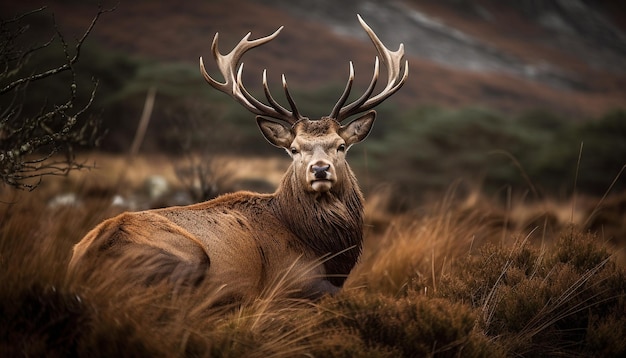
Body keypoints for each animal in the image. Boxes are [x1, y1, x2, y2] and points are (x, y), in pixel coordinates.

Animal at [68, 15, 408, 300]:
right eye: (294, 148)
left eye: (340, 146)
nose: (320, 170)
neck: (328, 255)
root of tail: (84, 263)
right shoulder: (292, 282)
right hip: (190, 256)